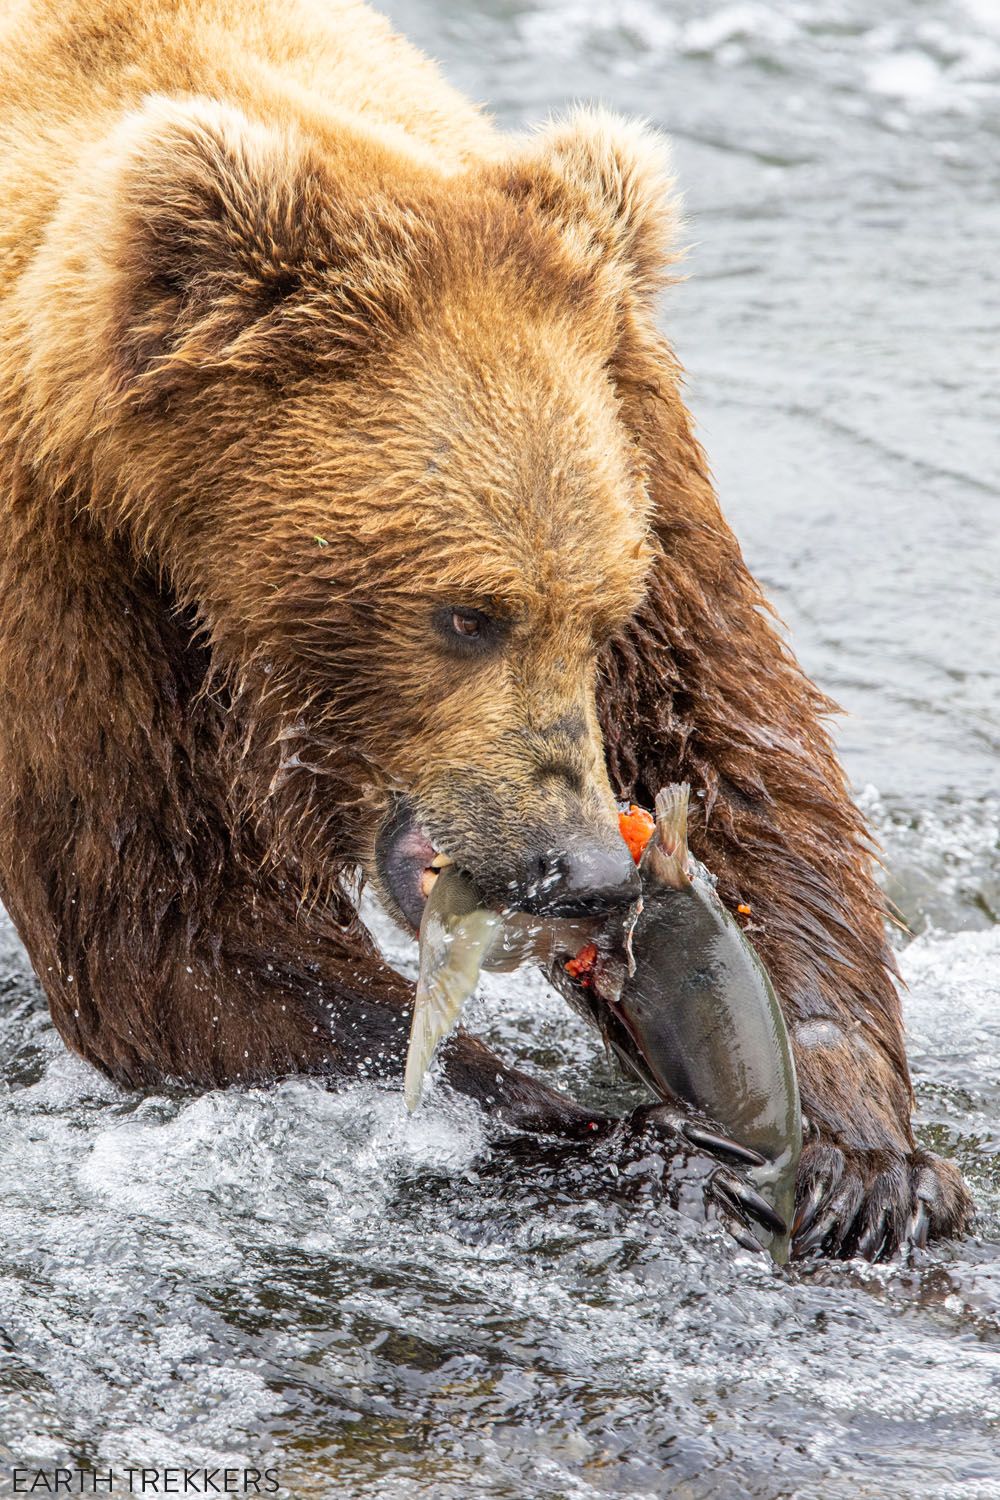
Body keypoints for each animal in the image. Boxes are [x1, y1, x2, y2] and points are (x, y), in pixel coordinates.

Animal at [0, 0, 971, 1254]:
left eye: (602, 615)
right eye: (466, 614)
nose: (588, 870)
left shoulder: (639, 445)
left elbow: (745, 763)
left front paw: (864, 1154)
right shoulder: (63, 577)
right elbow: (165, 922)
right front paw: (602, 1134)